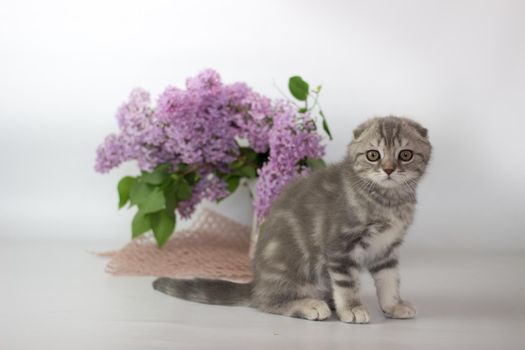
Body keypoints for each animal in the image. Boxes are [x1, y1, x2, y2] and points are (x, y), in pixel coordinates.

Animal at [151, 116, 430, 324]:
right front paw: (352, 308)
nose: (389, 169)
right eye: (373, 155)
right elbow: (348, 283)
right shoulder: (340, 245)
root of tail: (256, 284)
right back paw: (309, 305)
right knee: (267, 303)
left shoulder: (387, 249)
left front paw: (393, 305)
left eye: (405, 155)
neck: (387, 200)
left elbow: (389, 280)